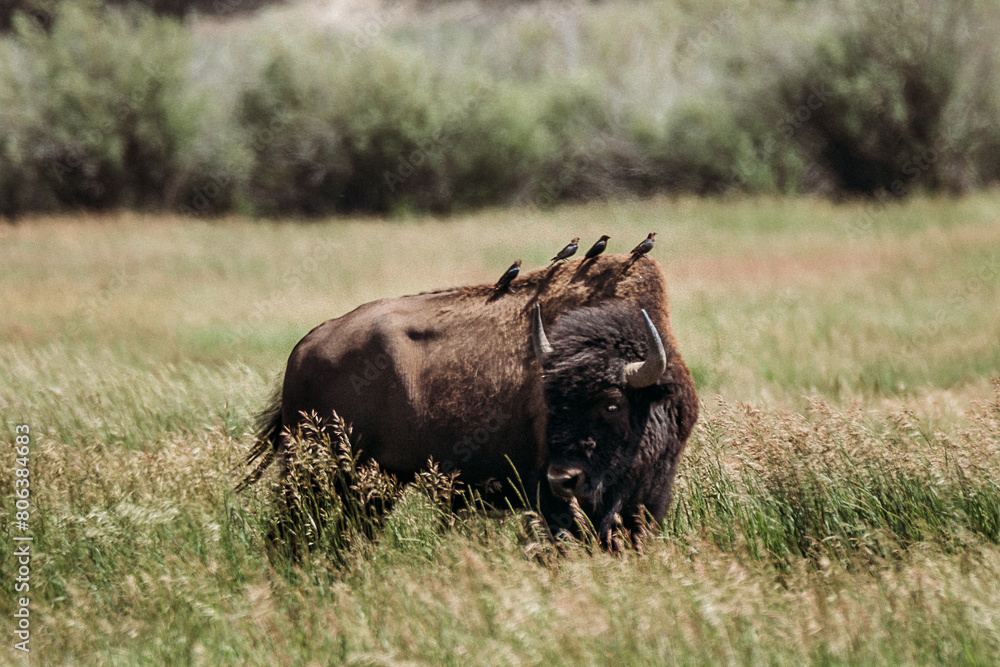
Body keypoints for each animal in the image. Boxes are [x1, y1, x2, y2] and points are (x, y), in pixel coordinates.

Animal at [241, 253, 698, 545]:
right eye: (549, 403)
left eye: (611, 404)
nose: (563, 478)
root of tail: (305, 348)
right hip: (313, 476)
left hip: (374, 485)